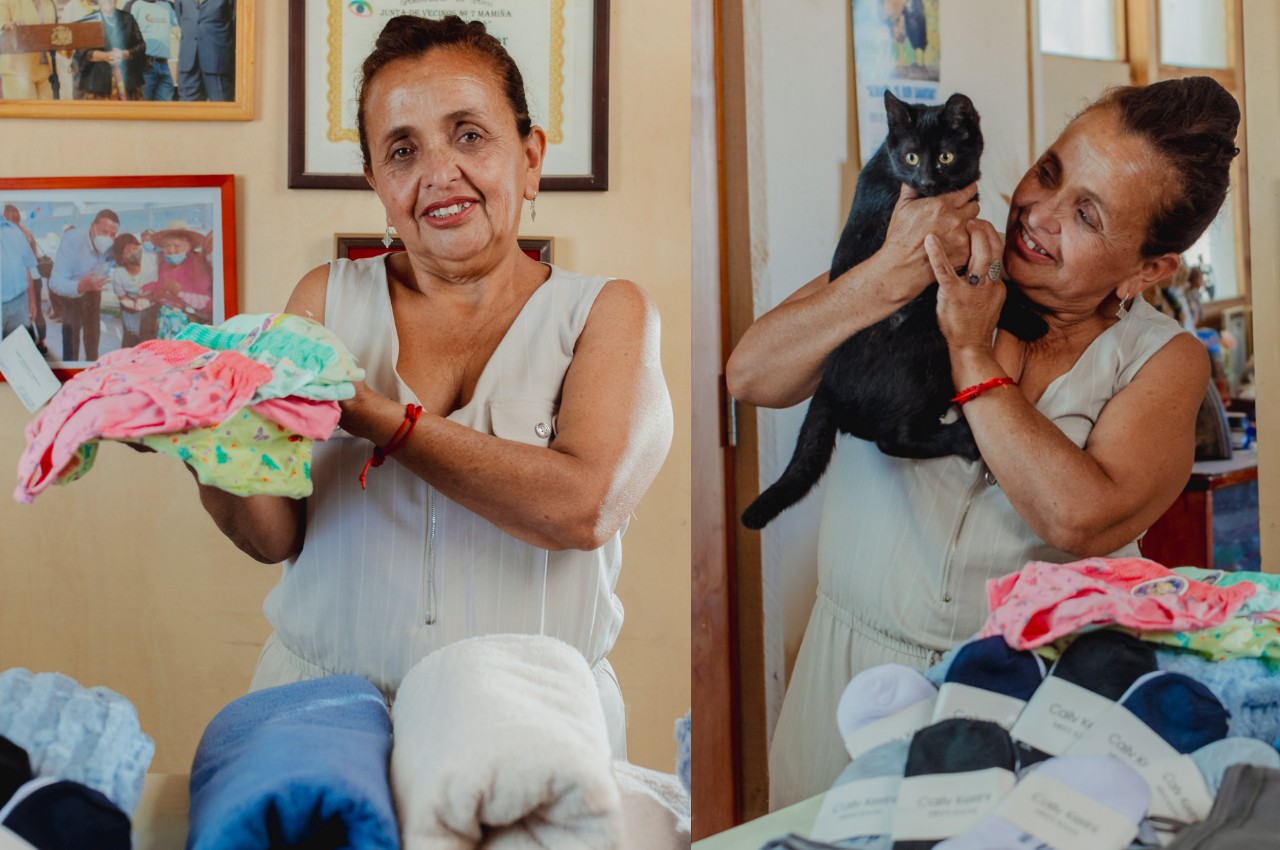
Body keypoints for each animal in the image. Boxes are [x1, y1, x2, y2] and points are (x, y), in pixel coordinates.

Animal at [741, 90, 1048, 531]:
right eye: (911, 158)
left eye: (945, 157)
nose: (927, 181)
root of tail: (827, 385)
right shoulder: (940, 265)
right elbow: (999, 294)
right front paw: (1032, 321)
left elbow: (1005, 285)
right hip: (926, 338)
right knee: (892, 438)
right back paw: (964, 439)